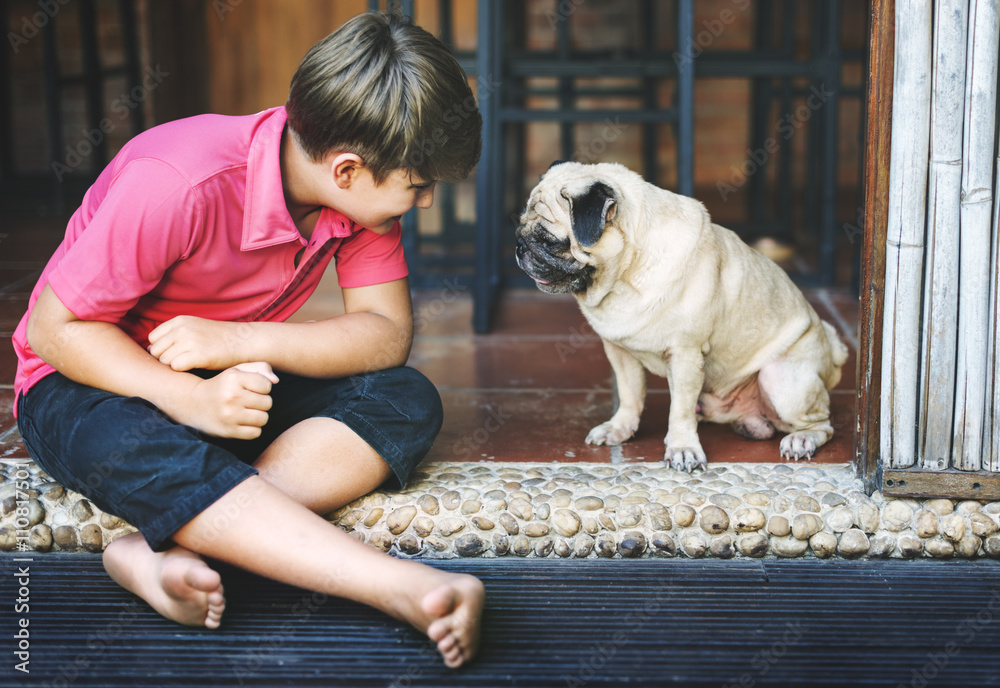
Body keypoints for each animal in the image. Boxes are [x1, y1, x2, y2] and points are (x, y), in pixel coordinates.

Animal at [516, 162, 852, 472]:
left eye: (550, 242)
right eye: (519, 229)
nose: (520, 247)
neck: (627, 275)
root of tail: (832, 350)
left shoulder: (685, 354)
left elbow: (679, 411)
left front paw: (682, 449)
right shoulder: (620, 352)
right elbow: (629, 395)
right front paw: (620, 428)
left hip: (783, 382)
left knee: (823, 424)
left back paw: (801, 439)